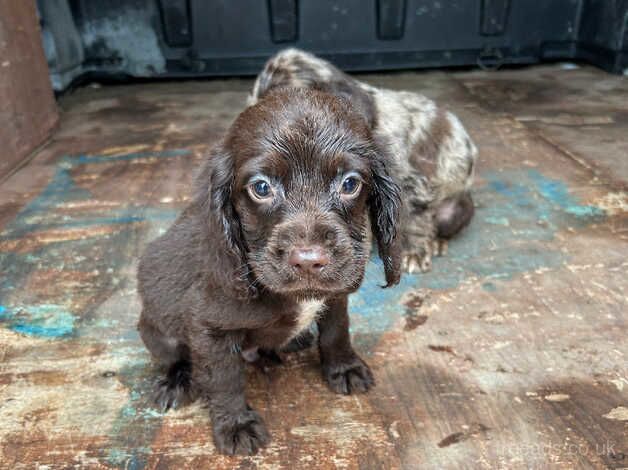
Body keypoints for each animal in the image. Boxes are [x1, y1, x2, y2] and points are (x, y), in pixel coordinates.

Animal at [137, 88, 402, 456]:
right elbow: (224, 379)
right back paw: (177, 380)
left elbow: (337, 329)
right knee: (175, 356)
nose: (309, 261)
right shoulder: (209, 329)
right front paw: (235, 424)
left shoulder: (335, 294)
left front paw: (344, 367)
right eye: (261, 188)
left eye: (350, 183)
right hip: (155, 330)